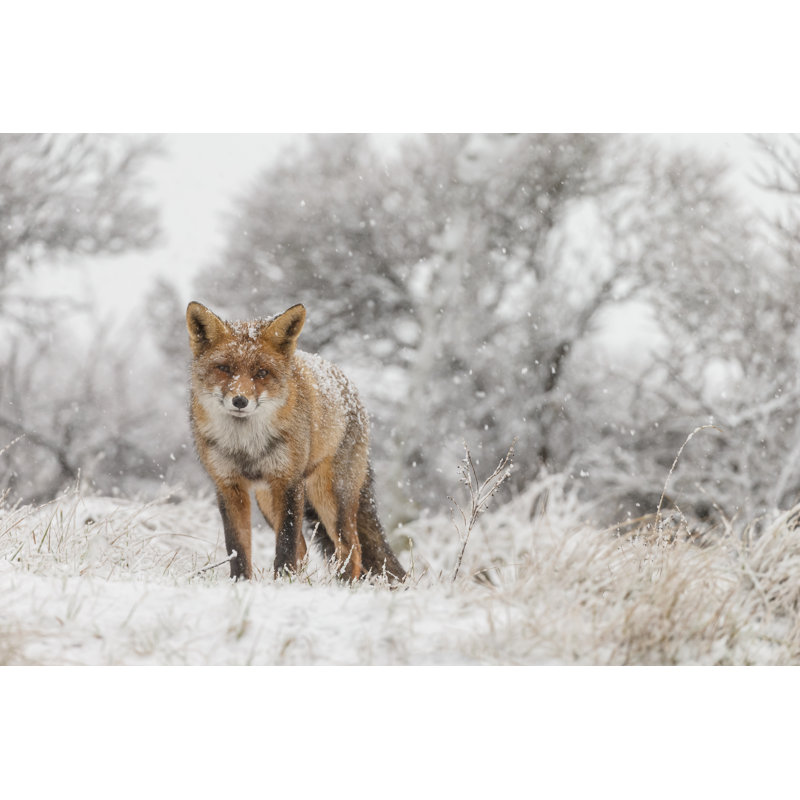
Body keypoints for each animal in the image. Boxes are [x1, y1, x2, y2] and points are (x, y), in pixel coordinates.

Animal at [186, 301, 405, 584]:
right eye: (224, 368)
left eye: (261, 372)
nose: (240, 401)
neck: (246, 445)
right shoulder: (228, 486)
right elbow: (237, 547)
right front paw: (241, 583)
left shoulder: (289, 482)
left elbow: (286, 544)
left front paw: (282, 582)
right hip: (268, 500)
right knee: (305, 547)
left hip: (330, 498)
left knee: (350, 549)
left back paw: (343, 586)